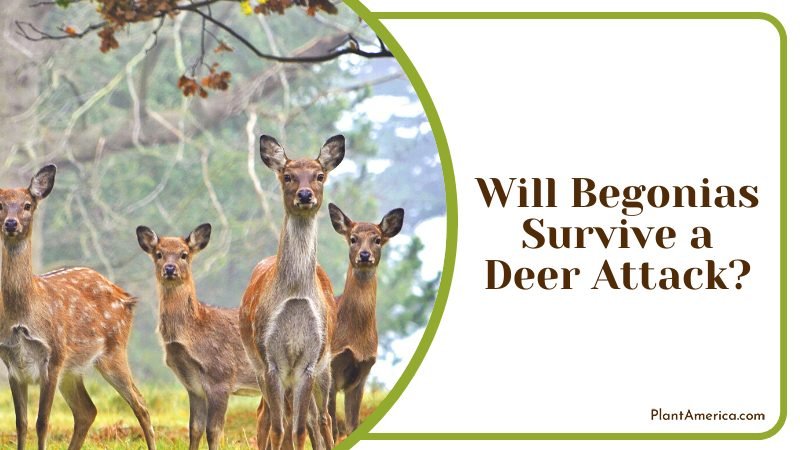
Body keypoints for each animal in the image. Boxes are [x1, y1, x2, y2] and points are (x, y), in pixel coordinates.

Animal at [0, 165, 156, 450]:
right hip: (73, 369)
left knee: (140, 403)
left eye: (27, 205)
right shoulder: (12, 364)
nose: (11, 223)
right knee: (87, 410)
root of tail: (127, 298)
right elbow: (21, 424)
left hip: (113, 350)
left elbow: (42, 423)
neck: (22, 317)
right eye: (1, 205)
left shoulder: (53, 356)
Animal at [136, 223, 262, 450]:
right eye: (158, 254)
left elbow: (214, 431)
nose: (170, 268)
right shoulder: (193, 387)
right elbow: (194, 428)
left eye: (184, 254)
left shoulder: (221, 377)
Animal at [240, 134, 343, 450]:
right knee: (267, 416)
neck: (295, 293)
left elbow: (297, 429)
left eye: (320, 175)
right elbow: (279, 428)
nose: (305, 195)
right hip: (259, 367)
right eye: (288, 176)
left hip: (325, 364)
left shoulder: (309, 360)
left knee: (321, 418)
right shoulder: (270, 359)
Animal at [326, 203, 404, 440]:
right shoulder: (330, 365)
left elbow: (352, 425)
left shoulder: (363, 372)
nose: (364, 254)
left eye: (377, 239)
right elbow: (332, 425)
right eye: (353, 238)